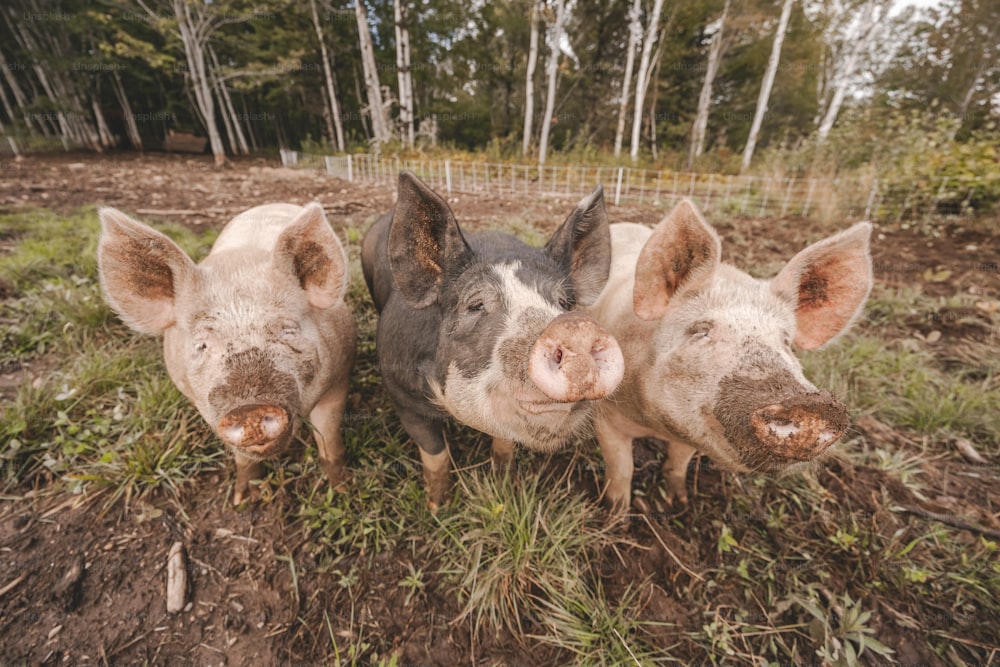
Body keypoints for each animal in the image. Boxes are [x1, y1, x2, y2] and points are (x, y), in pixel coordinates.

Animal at [97, 204, 356, 506]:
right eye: (201, 345)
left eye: (288, 329)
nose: (249, 410)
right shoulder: (204, 406)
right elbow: (242, 458)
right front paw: (243, 500)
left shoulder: (338, 378)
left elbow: (329, 441)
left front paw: (343, 491)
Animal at [364, 171, 620, 506]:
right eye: (475, 304)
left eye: (564, 303)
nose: (575, 328)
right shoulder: (402, 396)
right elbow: (435, 454)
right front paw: (437, 506)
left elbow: (504, 444)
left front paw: (503, 484)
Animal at [588, 200, 872, 512]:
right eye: (701, 330)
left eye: (786, 342)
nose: (813, 405)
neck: (658, 427)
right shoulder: (607, 414)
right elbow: (621, 468)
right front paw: (615, 513)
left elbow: (677, 464)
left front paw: (679, 503)